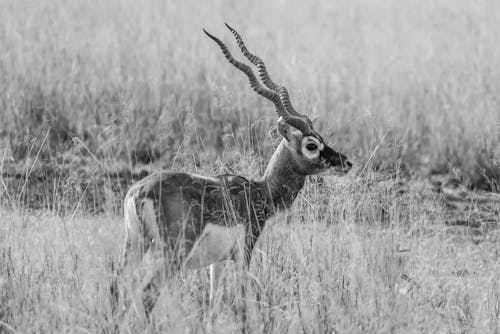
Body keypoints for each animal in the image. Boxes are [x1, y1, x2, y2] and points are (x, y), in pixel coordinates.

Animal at [115, 22, 354, 318]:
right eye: (311, 144)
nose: (346, 163)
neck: (260, 192)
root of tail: (138, 193)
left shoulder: (216, 262)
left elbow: (212, 304)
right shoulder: (243, 254)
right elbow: (241, 299)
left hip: (134, 246)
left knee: (117, 287)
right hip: (172, 254)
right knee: (147, 294)